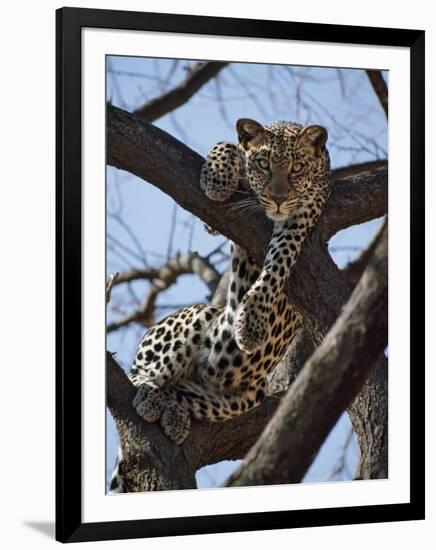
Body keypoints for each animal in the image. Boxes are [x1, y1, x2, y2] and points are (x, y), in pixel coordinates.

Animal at [109, 117, 330, 496]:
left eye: (298, 168)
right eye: (264, 164)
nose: (278, 198)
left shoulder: (303, 214)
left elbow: (278, 263)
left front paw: (252, 322)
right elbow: (227, 145)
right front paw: (216, 178)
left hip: (240, 397)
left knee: (181, 392)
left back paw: (171, 412)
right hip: (196, 317)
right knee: (140, 373)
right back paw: (150, 395)